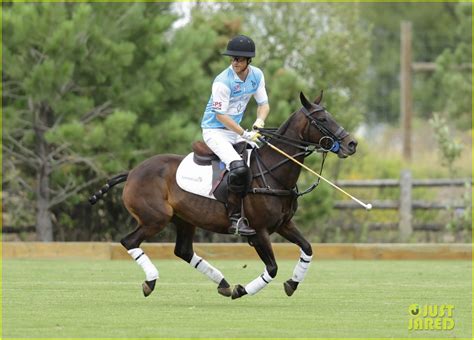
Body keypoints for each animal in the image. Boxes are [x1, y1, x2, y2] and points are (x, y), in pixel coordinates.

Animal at [89, 91, 358, 300]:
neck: (273, 171)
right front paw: (242, 290)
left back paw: (223, 283)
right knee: (130, 241)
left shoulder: (284, 224)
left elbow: (308, 248)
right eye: (322, 119)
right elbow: (272, 268)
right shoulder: (258, 231)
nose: (352, 144)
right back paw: (151, 281)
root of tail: (132, 172)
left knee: (183, 251)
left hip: (184, 219)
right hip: (156, 218)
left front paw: (292, 283)